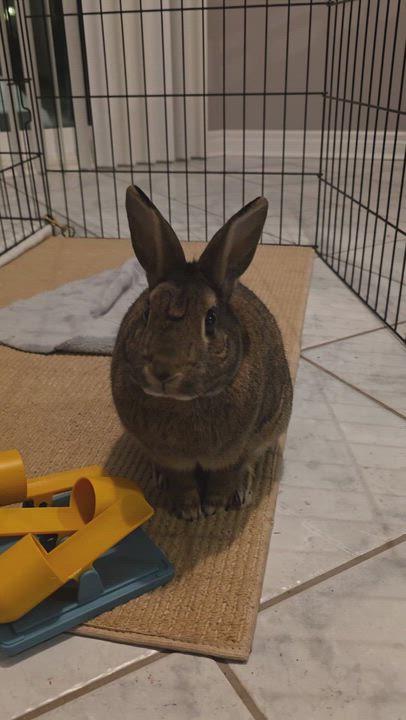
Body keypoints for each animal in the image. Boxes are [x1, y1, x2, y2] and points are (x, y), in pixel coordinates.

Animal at [111, 185, 293, 520]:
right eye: (146, 312)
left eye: (210, 319)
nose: (164, 370)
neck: (182, 403)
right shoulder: (171, 459)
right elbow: (181, 481)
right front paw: (189, 511)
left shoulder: (236, 452)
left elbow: (226, 475)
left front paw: (215, 506)